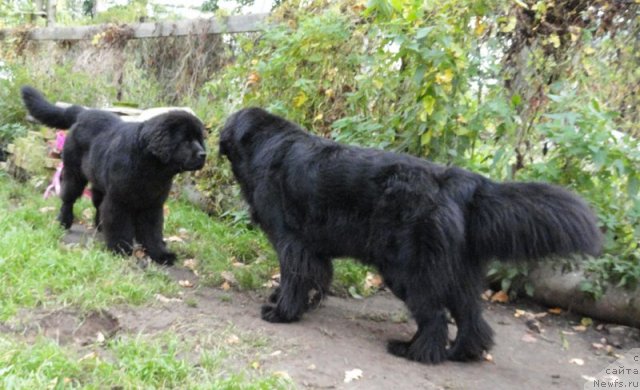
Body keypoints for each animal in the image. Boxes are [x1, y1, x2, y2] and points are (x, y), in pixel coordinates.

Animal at [21, 86, 206, 266]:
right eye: (186, 140)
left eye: (199, 139)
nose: (203, 154)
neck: (151, 168)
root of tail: (83, 112)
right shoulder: (119, 200)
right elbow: (120, 225)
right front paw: (120, 249)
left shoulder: (152, 204)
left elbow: (153, 231)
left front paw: (160, 254)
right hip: (74, 174)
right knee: (68, 199)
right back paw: (63, 222)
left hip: (99, 182)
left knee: (98, 205)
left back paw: (100, 227)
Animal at [219, 106, 600, 362]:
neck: (267, 144)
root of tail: (460, 183)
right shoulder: (313, 250)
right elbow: (309, 278)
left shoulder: (292, 243)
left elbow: (294, 278)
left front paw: (282, 312)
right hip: (455, 273)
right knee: (471, 318)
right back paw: (462, 353)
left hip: (409, 269)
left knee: (435, 318)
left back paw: (414, 351)